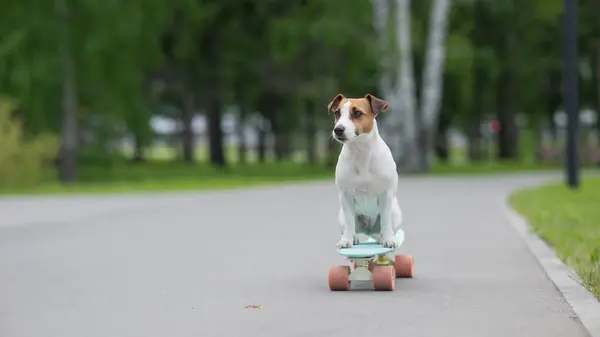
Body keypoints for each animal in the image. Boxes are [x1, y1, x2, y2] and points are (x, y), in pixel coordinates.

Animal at [328, 93, 404, 248]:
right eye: (337, 113)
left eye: (357, 113)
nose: (338, 129)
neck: (360, 152)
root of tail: (369, 230)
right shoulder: (345, 196)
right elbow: (349, 221)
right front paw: (347, 240)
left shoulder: (386, 194)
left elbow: (385, 220)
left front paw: (388, 239)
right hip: (341, 216)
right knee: (351, 225)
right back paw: (354, 237)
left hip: (395, 212)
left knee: (386, 225)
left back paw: (383, 237)